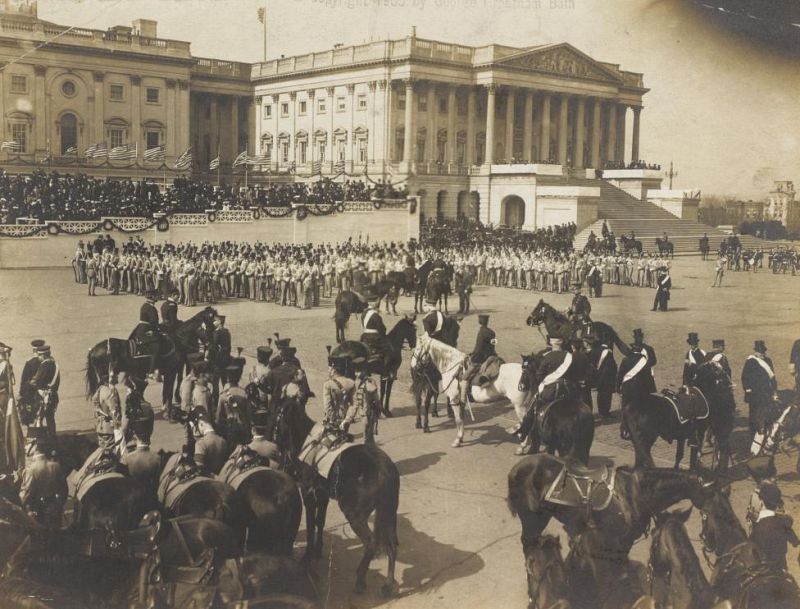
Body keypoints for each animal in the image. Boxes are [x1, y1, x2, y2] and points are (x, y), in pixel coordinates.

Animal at [272, 392, 400, 596]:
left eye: (278, 413)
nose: (274, 439)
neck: (308, 440)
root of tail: (385, 470)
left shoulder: (308, 494)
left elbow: (310, 526)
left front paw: (307, 558)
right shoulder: (322, 494)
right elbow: (320, 521)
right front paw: (318, 551)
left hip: (354, 514)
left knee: (371, 542)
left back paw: (360, 579)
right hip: (389, 513)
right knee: (391, 545)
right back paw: (388, 585)